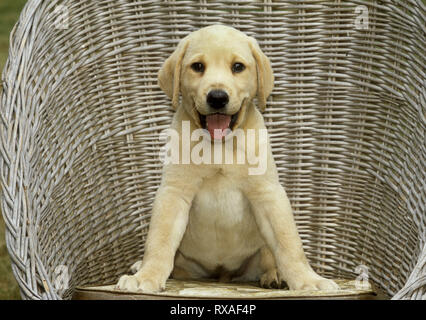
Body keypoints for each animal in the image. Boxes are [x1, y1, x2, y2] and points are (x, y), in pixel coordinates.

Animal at [115, 23, 338, 292]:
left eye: (238, 67)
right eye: (198, 66)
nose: (218, 97)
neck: (218, 146)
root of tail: (222, 275)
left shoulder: (268, 193)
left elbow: (289, 244)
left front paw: (308, 280)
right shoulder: (174, 192)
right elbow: (159, 241)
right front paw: (146, 276)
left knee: (269, 256)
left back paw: (275, 276)